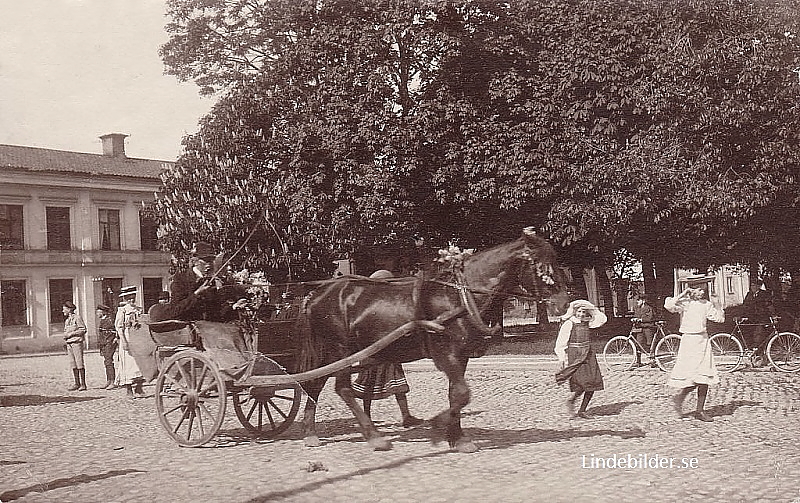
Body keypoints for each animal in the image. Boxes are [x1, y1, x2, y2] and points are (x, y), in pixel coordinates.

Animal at [294, 228, 568, 452]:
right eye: (543, 266)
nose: (563, 303)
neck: (460, 297)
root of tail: (317, 294)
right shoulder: (446, 353)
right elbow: (461, 394)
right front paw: (440, 427)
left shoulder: (461, 356)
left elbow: (454, 394)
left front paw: (456, 437)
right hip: (341, 348)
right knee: (342, 388)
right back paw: (374, 436)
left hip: (333, 352)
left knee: (314, 383)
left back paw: (310, 432)